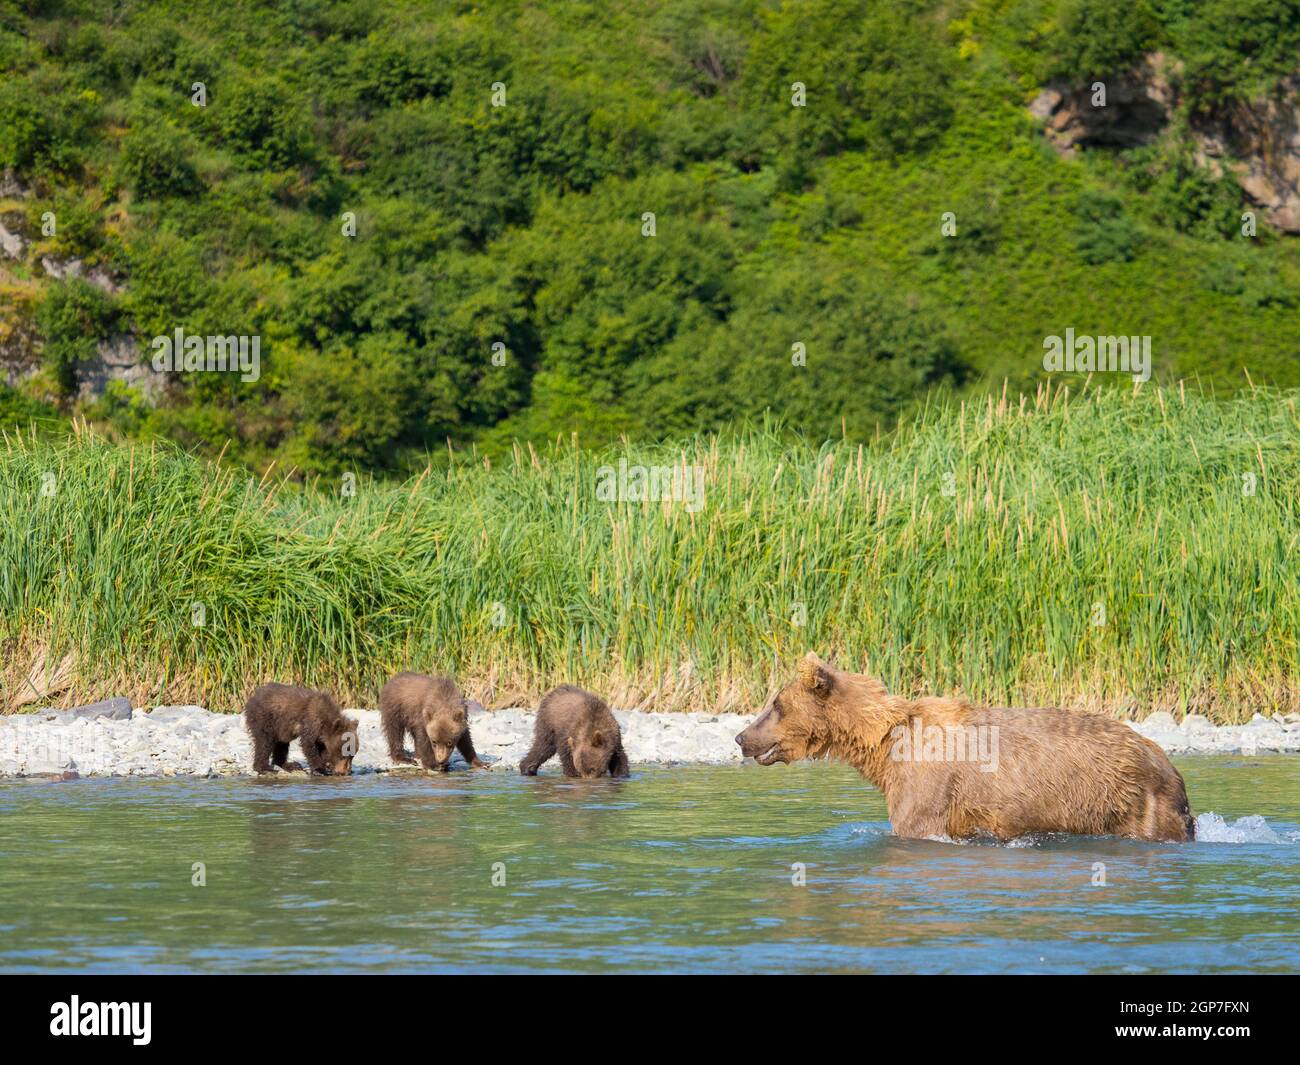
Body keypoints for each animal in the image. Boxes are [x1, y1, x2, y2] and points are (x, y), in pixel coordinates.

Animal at [738, 652, 1190, 847]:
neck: (883, 745)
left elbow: (915, 825)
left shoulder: (926, 788)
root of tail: (1165, 761)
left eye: (776, 704)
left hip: (1133, 801)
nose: (742, 737)